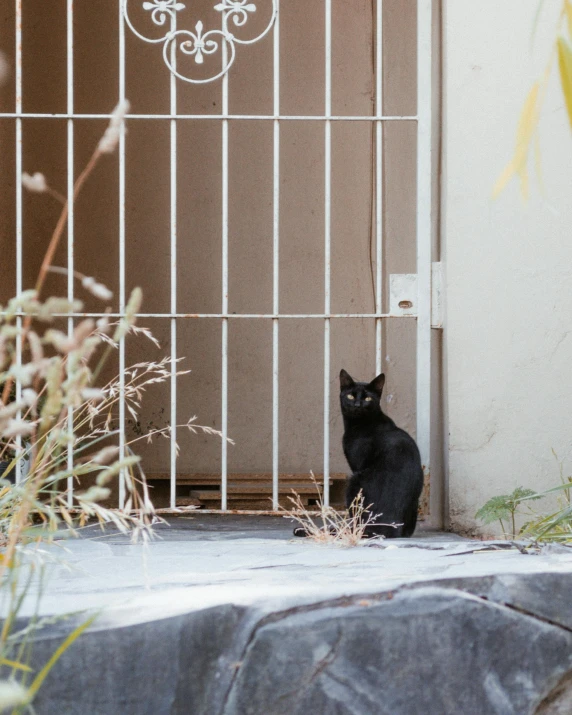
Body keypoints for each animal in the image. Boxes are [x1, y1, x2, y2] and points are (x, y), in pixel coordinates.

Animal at [340, 370, 424, 536]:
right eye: (350, 396)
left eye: (367, 398)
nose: (357, 404)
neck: (358, 425)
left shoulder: (357, 464)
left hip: (354, 481)